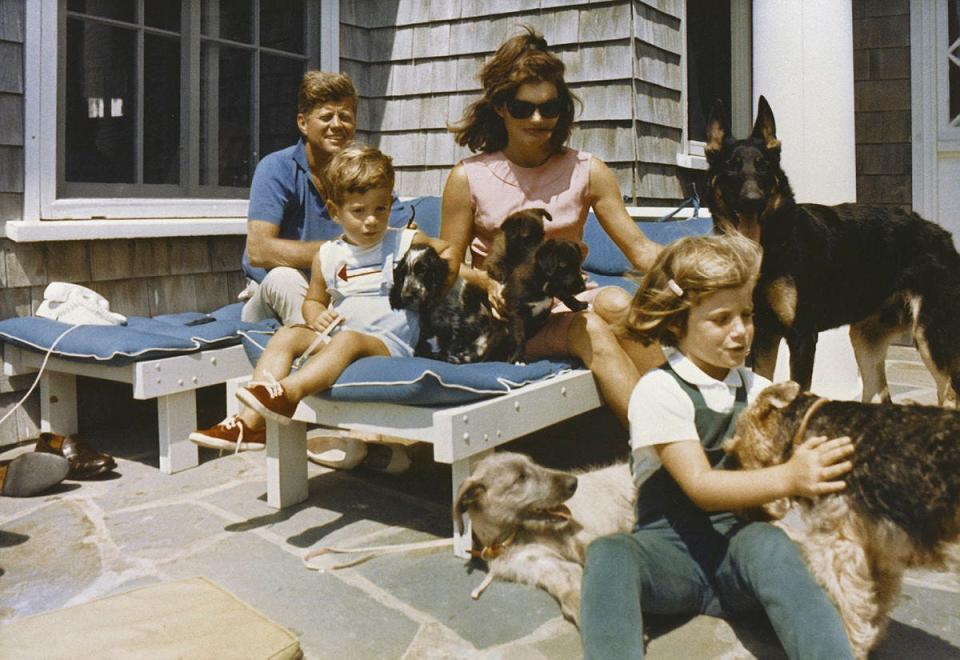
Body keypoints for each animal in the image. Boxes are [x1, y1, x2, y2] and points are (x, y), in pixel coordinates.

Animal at [704, 96, 960, 408]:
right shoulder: (764, 336)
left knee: (949, 395)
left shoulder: (801, 336)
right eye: (732, 167)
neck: (773, 243)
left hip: (930, 337)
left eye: (763, 167)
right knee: (879, 394)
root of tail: (942, 234)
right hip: (865, 340)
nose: (752, 200)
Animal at [728, 378, 960, 656]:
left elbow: (847, 610)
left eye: (736, 450)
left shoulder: (838, 545)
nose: (743, 513)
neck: (807, 430)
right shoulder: (878, 551)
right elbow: (873, 606)